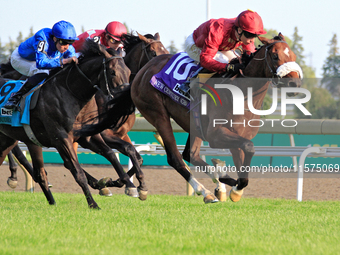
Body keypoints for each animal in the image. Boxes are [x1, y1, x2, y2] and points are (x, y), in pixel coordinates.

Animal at [0, 38, 130, 208]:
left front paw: (128, 184)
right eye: (113, 72)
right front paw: (93, 204)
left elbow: (111, 154)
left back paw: (52, 202)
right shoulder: (61, 139)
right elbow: (77, 171)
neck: (70, 92)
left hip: (10, 139)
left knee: (37, 171)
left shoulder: (86, 136)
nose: (124, 100)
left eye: (128, 72)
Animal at [76, 33, 302, 204]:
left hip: (192, 124)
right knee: (176, 158)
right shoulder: (216, 135)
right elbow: (249, 147)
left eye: (292, 53)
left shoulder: (236, 137)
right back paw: (205, 190)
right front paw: (233, 188)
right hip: (157, 114)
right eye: (275, 56)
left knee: (189, 154)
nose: (295, 83)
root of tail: (141, 72)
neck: (244, 94)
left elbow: (244, 161)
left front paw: (235, 188)